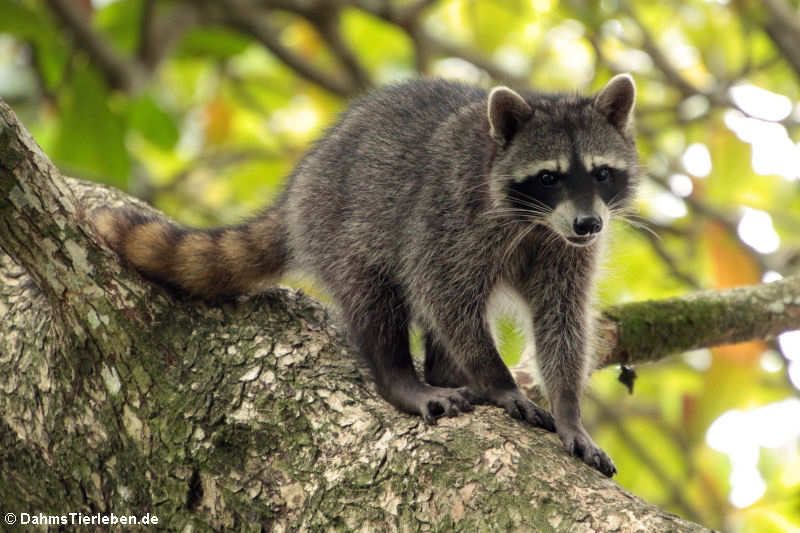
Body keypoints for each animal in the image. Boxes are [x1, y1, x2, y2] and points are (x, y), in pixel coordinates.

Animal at [95, 74, 644, 474]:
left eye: (600, 173)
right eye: (549, 177)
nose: (589, 223)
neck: (536, 222)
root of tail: (301, 186)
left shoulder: (565, 251)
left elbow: (562, 320)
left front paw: (570, 410)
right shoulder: (452, 216)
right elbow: (442, 292)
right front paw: (497, 379)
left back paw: (443, 371)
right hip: (341, 226)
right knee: (376, 299)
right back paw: (402, 378)